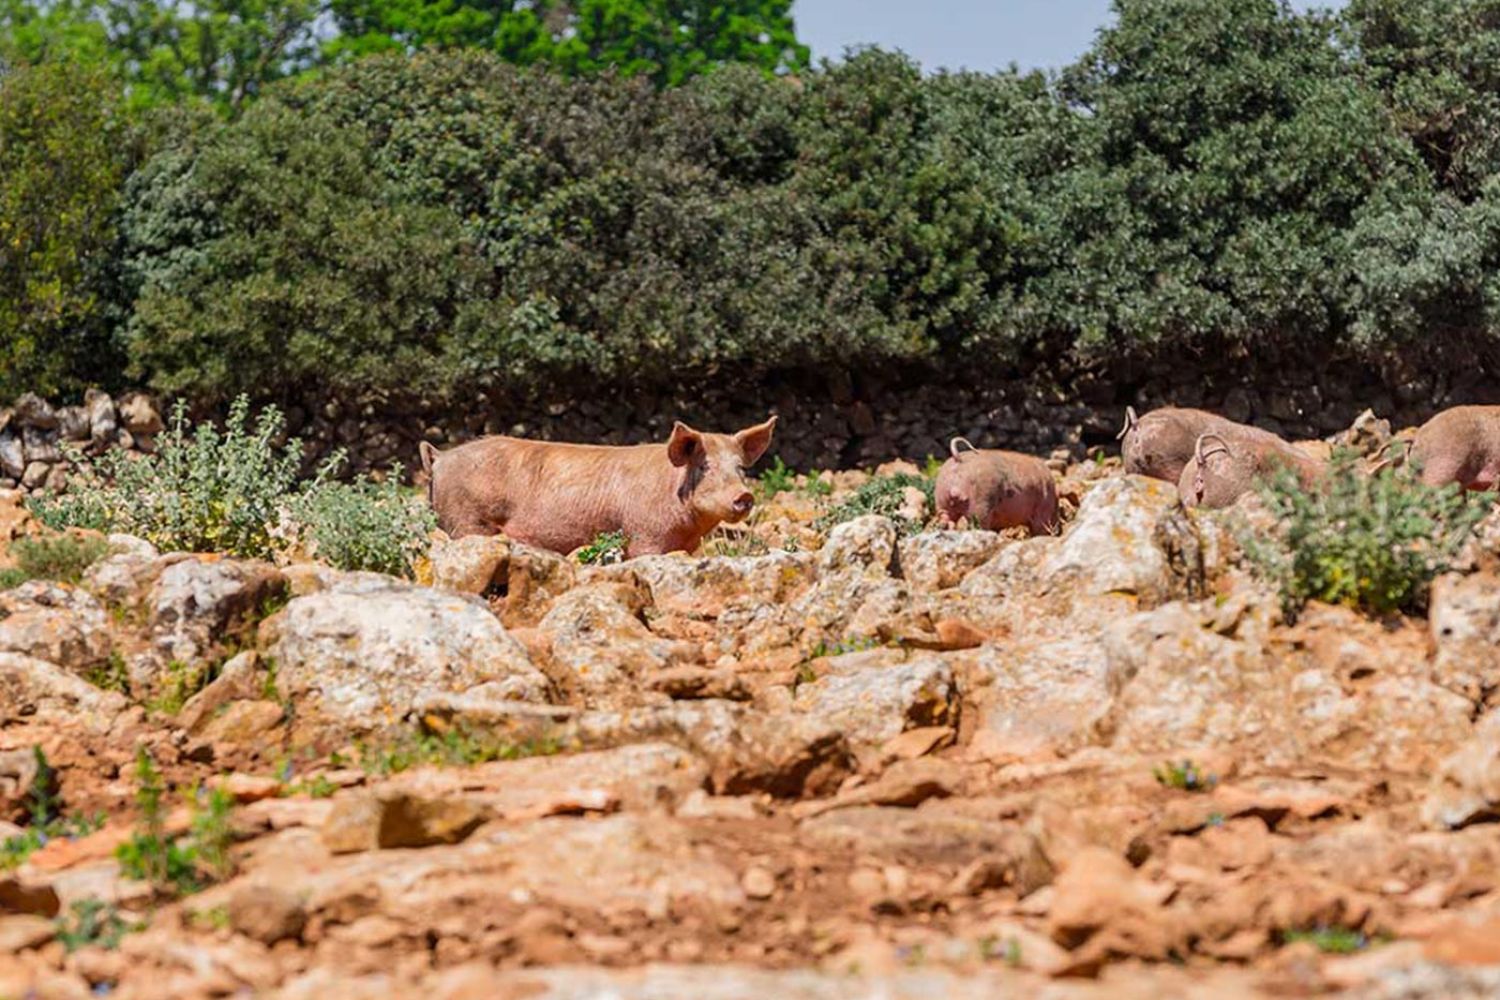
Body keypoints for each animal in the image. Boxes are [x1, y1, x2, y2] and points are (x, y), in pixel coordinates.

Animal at [420, 413, 780, 554]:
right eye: (704, 466)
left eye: (740, 468)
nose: (744, 496)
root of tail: (440, 457)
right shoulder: (644, 534)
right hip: (466, 519)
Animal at [930, 434, 1062, 536]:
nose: (1058, 531)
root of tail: (958, 458)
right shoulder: (1042, 510)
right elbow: (1039, 529)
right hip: (981, 502)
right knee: (977, 524)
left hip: (941, 500)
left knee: (946, 519)